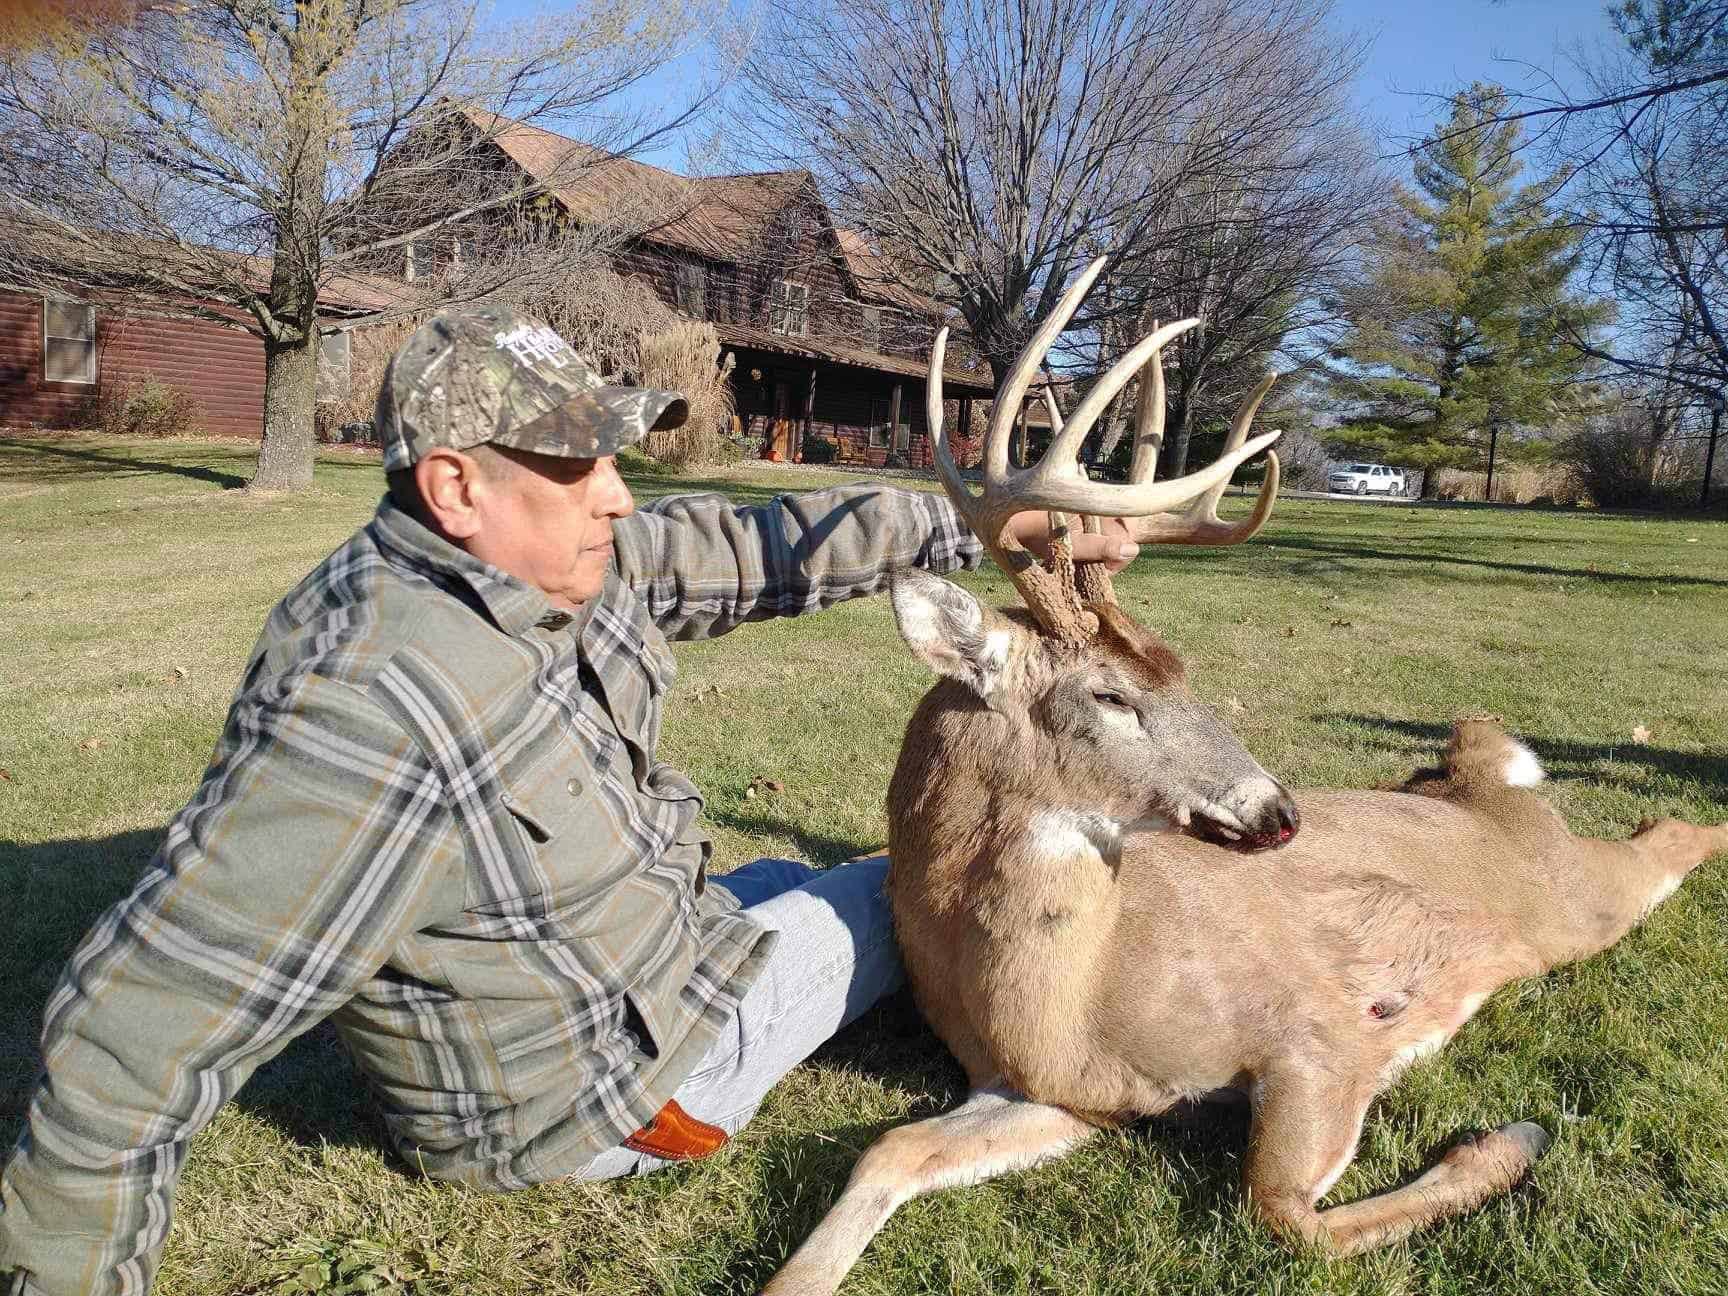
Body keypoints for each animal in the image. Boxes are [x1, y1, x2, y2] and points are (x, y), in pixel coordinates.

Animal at [759, 258, 1728, 1296]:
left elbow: (1285, 1211)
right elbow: (886, 1149)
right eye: (1111, 694)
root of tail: (1479, 779)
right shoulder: (1059, 1095)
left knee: (1671, 833)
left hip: (1573, 902)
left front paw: (1511, 1139)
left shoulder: (1312, 1027)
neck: (1070, 993)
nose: (1282, 810)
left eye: (1183, 668)